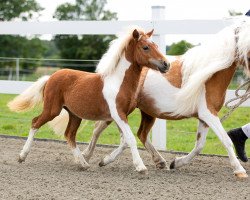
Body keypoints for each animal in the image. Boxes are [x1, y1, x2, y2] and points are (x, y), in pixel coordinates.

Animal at [8, 28, 171, 173]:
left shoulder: (119, 116)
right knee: (35, 123)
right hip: (52, 109)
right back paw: (22, 156)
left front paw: (104, 161)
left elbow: (124, 141)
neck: (119, 82)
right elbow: (130, 139)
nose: (166, 64)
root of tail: (51, 77)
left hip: (74, 114)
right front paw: (141, 167)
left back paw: (83, 164)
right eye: (145, 47)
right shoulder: (118, 114)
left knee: (69, 135)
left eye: (156, 46)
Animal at [82, 19, 250, 178]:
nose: (165, 65)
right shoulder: (208, 113)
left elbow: (199, 146)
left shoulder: (204, 116)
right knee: (99, 129)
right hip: (121, 111)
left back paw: (158, 161)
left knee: (140, 134)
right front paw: (240, 170)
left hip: (146, 112)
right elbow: (225, 140)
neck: (208, 74)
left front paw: (176, 162)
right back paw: (88, 157)